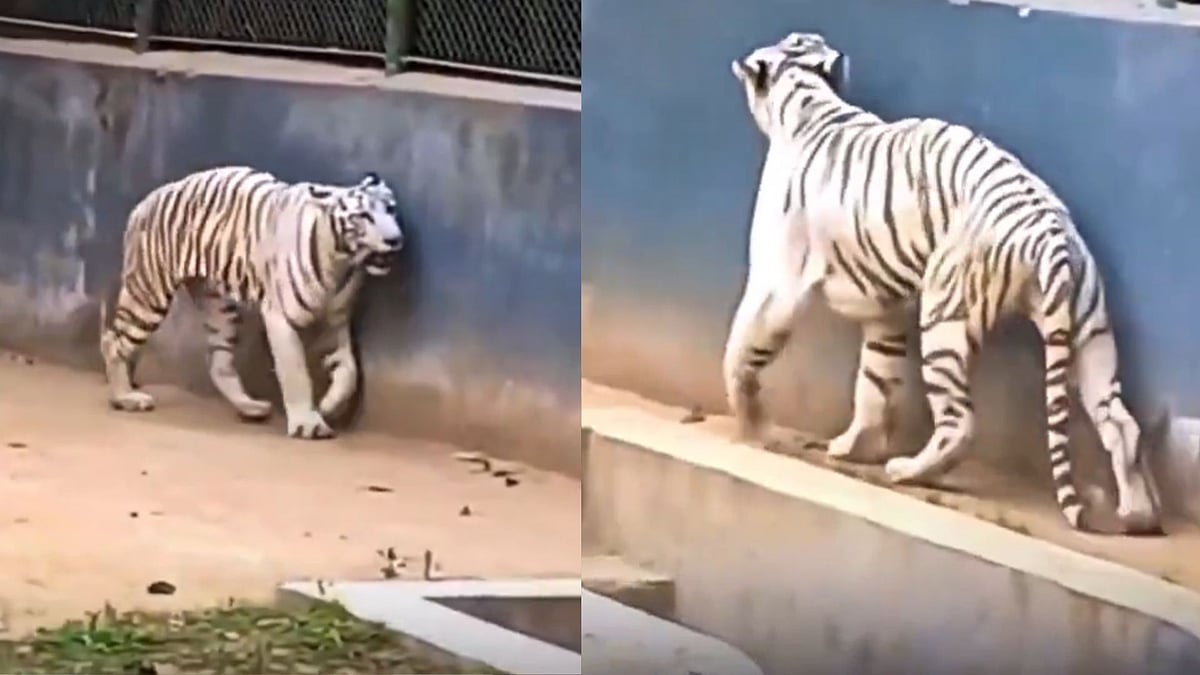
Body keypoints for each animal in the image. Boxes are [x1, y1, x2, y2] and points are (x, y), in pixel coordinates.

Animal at [98, 166, 404, 440]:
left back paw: (250, 407)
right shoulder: (280, 317)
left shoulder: (335, 324)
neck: (341, 262)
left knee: (218, 362)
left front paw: (327, 406)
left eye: (390, 209)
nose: (394, 239)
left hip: (218, 308)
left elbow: (349, 372)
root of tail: (145, 201)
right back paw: (126, 397)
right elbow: (295, 372)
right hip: (148, 296)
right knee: (113, 341)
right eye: (363, 216)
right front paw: (308, 424)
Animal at [722, 32, 1162, 534]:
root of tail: (1048, 229)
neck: (808, 97)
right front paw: (852, 445)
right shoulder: (885, 307)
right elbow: (874, 382)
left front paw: (749, 422)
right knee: (1120, 422)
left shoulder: (777, 281)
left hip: (945, 315)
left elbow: (743, 348)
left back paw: (908, 470)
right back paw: (1138, 515)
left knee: (960, 422)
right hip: (1092, 332)